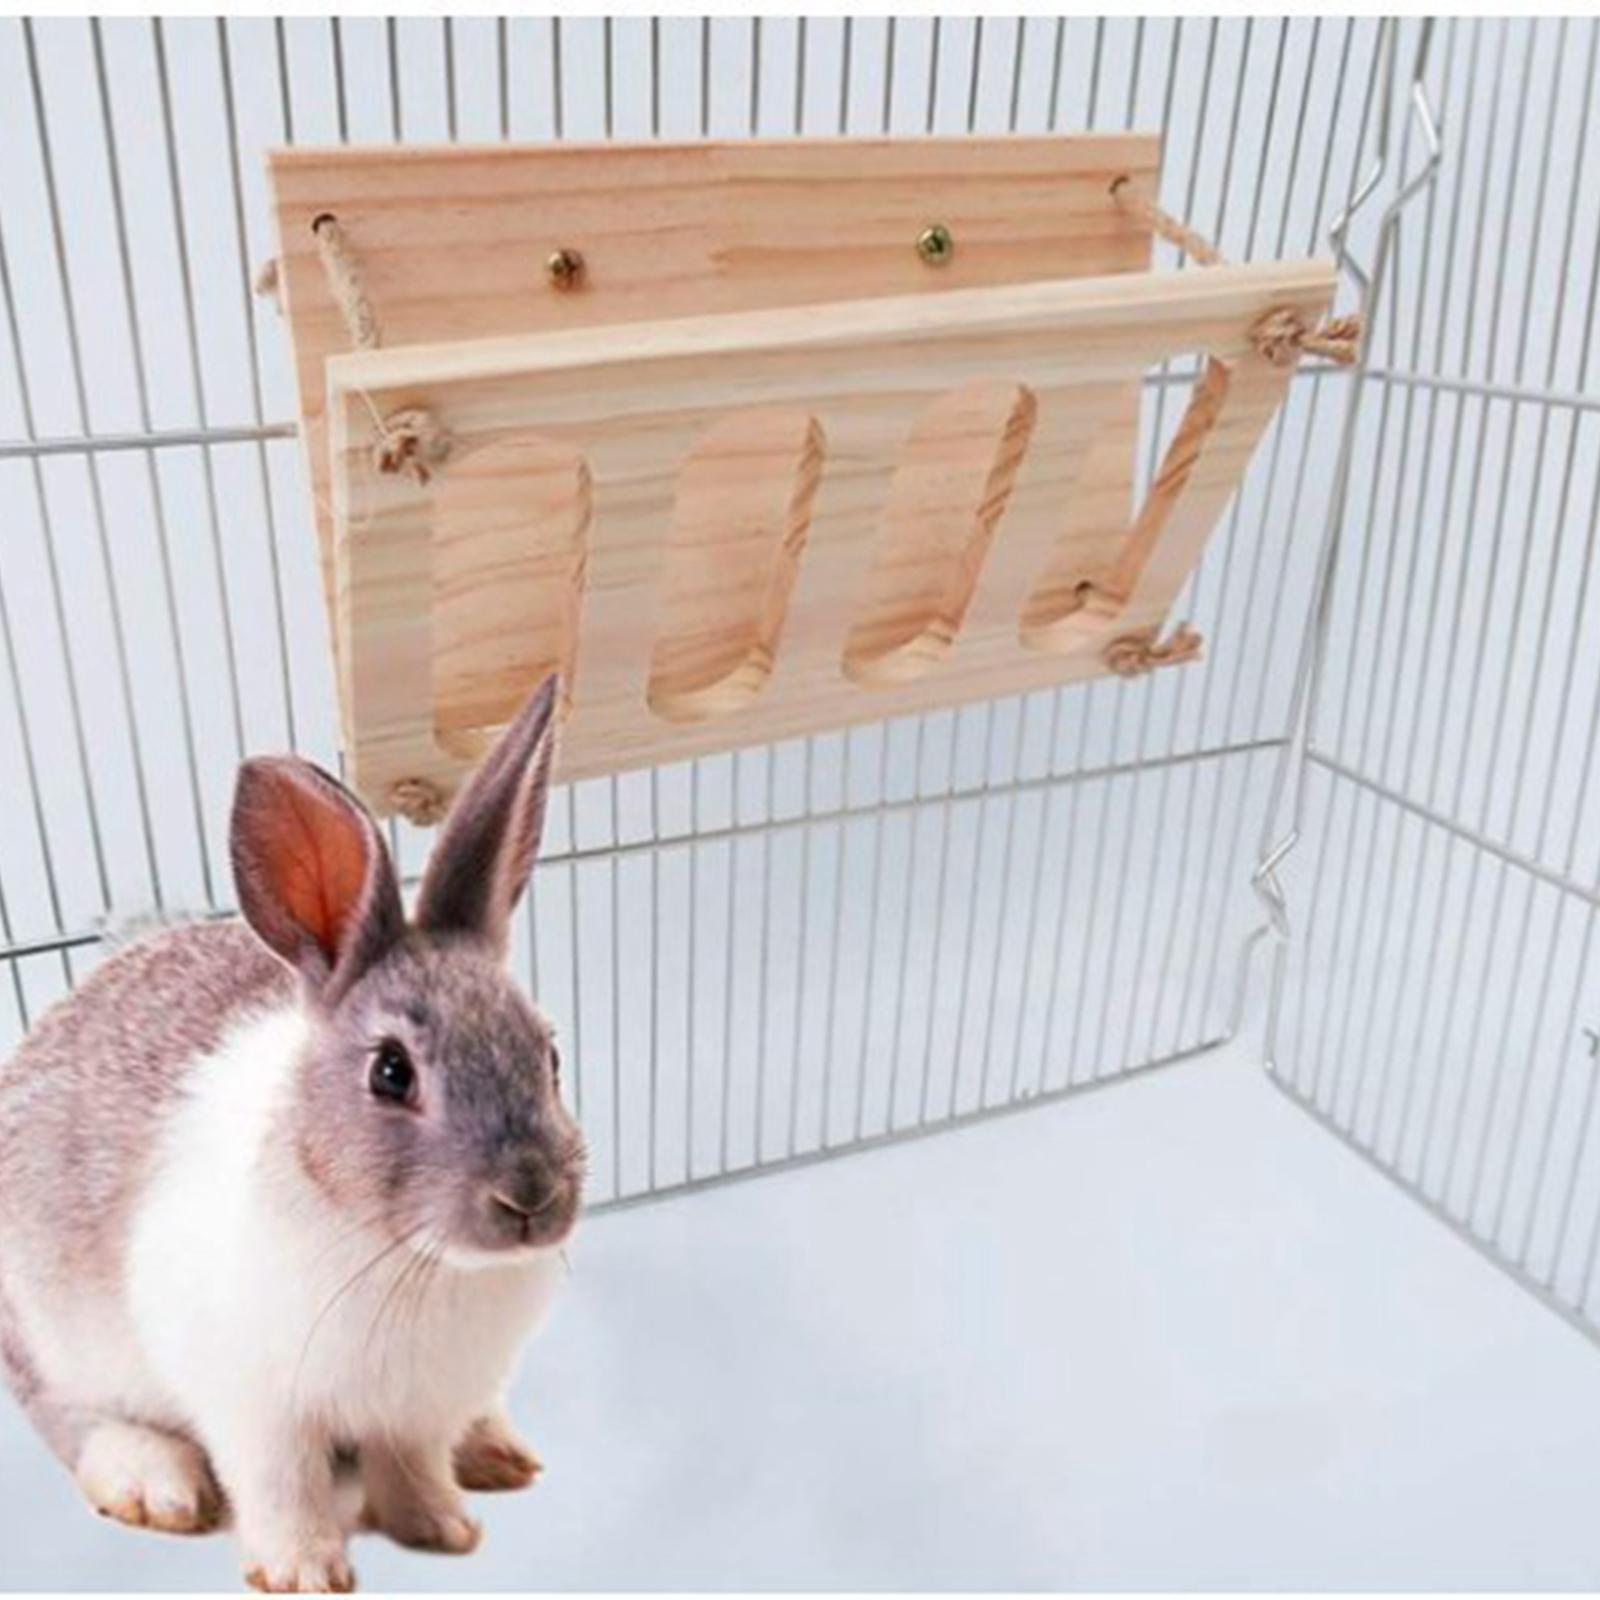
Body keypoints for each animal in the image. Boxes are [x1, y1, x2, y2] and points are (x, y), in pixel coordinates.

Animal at [0, 673, 585, 1592]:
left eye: (549, 1053)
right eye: (391, 1073)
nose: (530, 1197)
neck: (409, 1258)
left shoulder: (416, 1413)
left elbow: (412, 1468)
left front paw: (443, 1530)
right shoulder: (256, 1410)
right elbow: (282, 1486)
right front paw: (304, 1571)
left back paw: (494, 1452)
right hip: (46, 1335)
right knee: (71, 1419)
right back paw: (156, 1483)